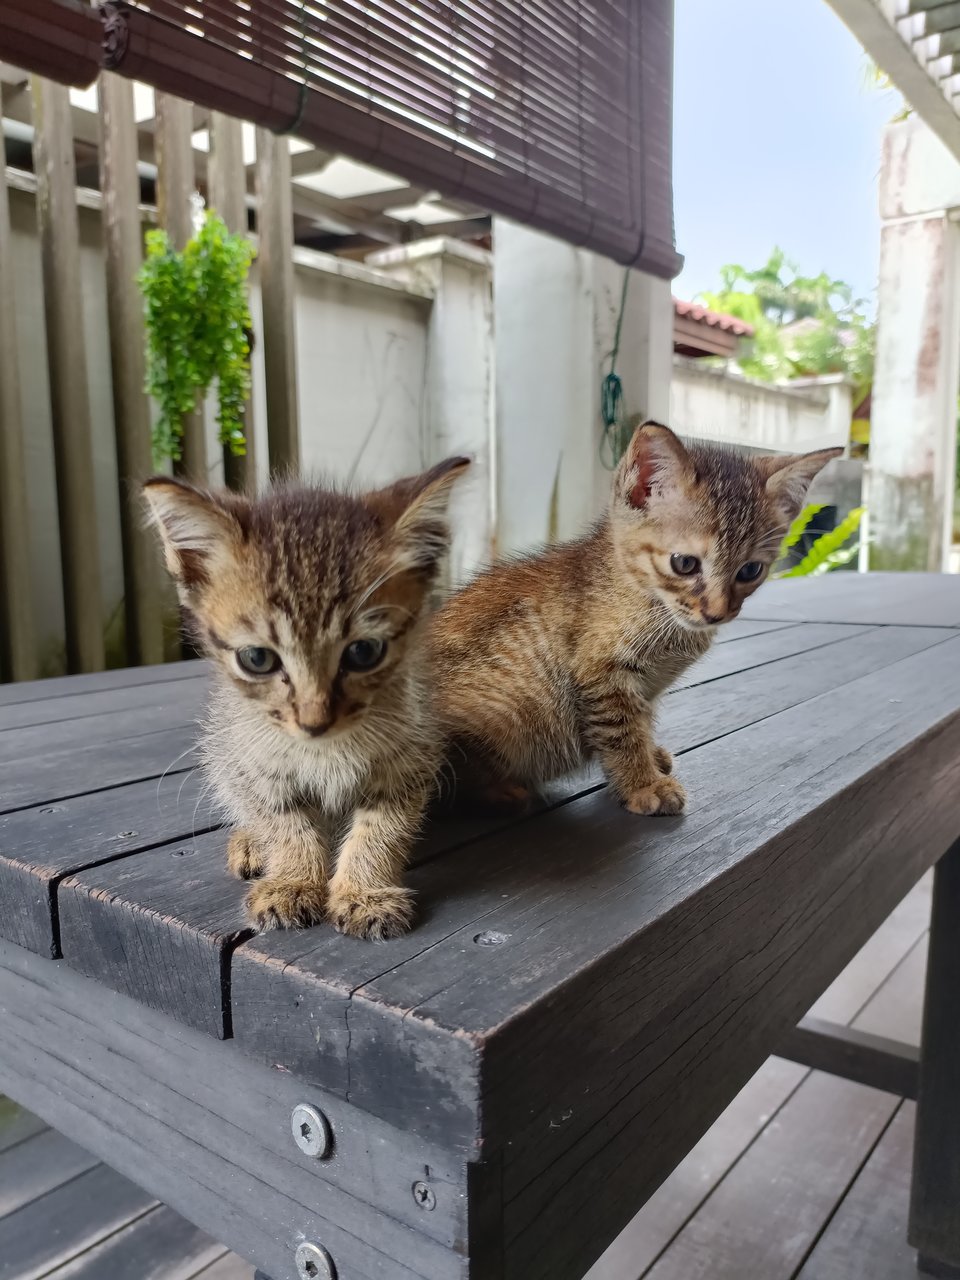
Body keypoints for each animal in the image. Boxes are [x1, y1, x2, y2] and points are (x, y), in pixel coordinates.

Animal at [142, 460, 471, 942]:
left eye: (364, 651)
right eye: (257, 658)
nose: (315, 721)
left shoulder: (409, 759)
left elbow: (381, 830)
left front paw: (364, 892)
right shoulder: (254, 766)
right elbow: (286, 824)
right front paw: (293, 882)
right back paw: (250, 843)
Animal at [430, 424, 839, 814]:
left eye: (751, 570)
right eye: (684, 563)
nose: (717, 613)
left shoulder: (643, 687)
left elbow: (641, 722)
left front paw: (650, 759)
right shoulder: (600, 674)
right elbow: (621, 732)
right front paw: (643, 784)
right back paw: (501, 793)